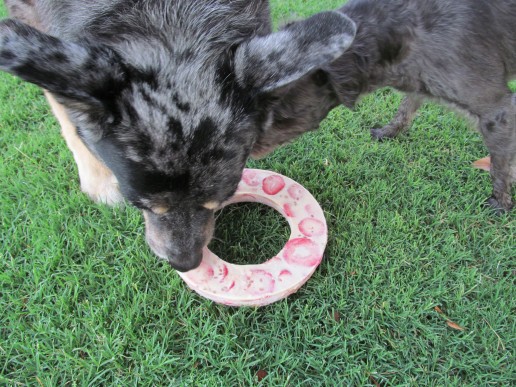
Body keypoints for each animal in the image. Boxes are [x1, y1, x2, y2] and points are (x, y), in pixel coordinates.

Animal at [0, 0, 358, 272]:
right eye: (144, 206)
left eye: (217, 203)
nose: (186, 264)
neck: (166, 19)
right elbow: (65, 112)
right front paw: (98, 182)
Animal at [255, 0, 516, 212]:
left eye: (279, 116)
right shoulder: (419, 80)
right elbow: (405, 108)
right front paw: (389, 132)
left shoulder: (498, 108)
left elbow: (500, 165)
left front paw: (501, 202)